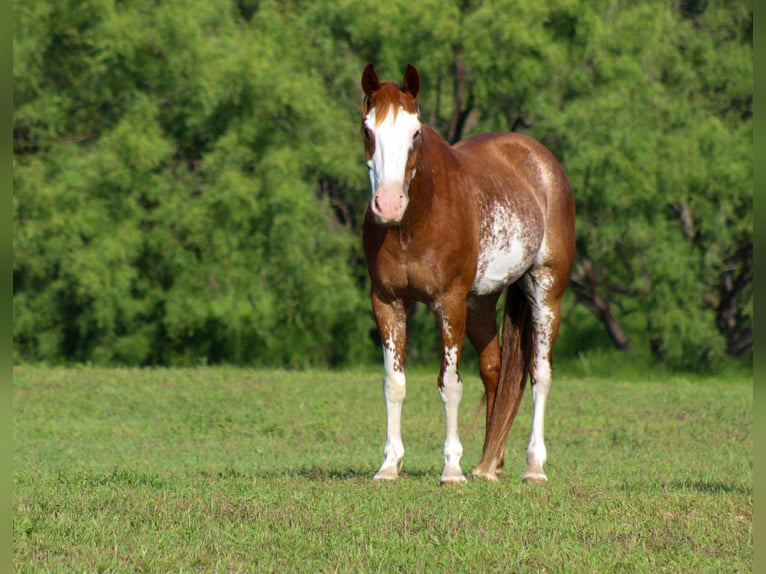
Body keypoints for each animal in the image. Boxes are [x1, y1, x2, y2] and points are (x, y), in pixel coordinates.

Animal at [360, 64, 575, 484]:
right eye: (367, 130)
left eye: (415, 131)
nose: (388, 203)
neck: (413, 222)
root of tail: (541, 161)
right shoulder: (387, 302)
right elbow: (394, 383)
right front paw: (389, 465)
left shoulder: (449, 303)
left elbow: (450, 384)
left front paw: (452, 468)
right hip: (481, 304)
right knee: (495, 370)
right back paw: (490, 464)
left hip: (545, 294)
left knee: (539, 374)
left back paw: (533, 466)